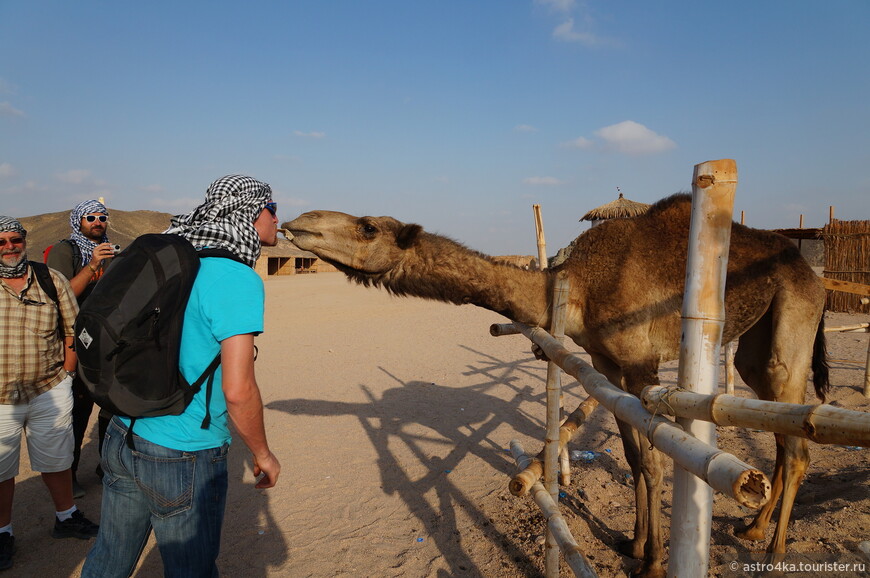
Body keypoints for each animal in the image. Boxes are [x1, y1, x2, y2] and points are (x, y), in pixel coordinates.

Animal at [286, 195, 832, 576]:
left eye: (367, 226)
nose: (297, 223)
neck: (579, 287)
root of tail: (813, 271)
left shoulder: (641, 364)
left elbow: (655, 461)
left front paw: (653, 564)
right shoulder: (605, 363)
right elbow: (633, 456)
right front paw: (633, 544)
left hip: (795, 316)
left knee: (797, 437)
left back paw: (775, 556)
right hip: (756, 347)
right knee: (780, 424)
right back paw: (753, 525)